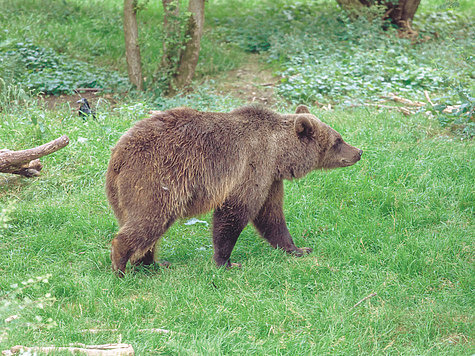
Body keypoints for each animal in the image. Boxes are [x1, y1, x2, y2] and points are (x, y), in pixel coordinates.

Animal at [106, 104, 362, 274]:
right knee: (149, 220)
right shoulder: (251, 168)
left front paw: (298, 248)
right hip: (156, 180)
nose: (358, 152)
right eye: (338, 140)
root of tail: (117, 155)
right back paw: (121, 267)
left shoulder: (270, 179)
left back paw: (154, 264)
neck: (279, 154)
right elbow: (234, 213)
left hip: (124, 192)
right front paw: (226, 261)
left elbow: (272, 217)